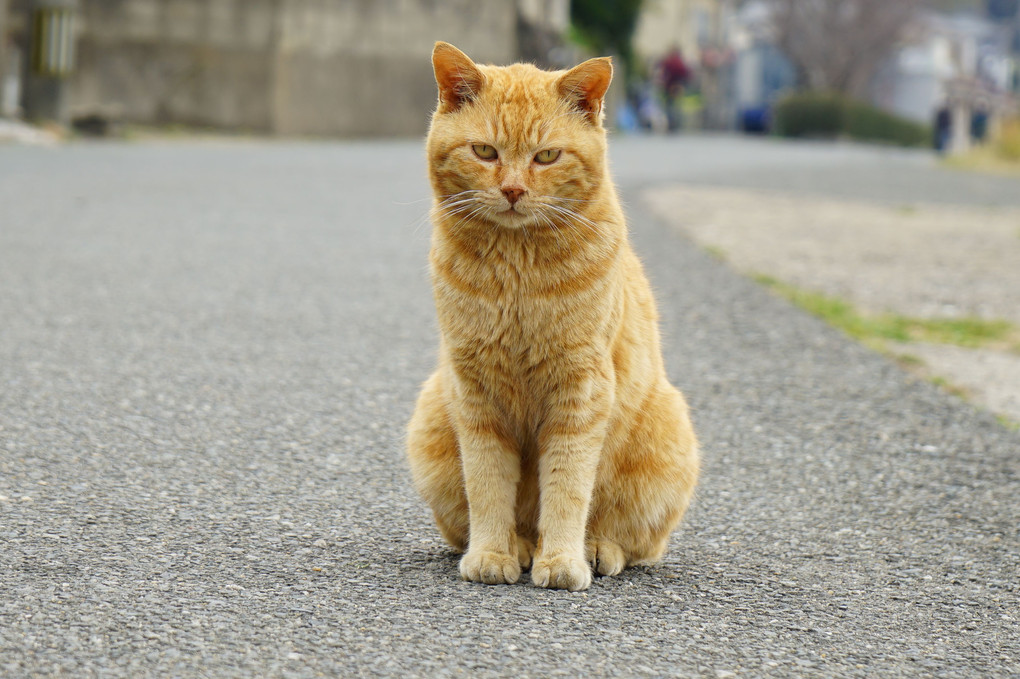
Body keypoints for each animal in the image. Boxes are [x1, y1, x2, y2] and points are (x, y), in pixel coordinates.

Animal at [408, 42, 701, 587]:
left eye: (546, 156)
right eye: (485, 152)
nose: (512, 190)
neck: (517, 272)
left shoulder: (580, 391)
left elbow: (568, 487)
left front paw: (562, 560)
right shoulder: (475, 392)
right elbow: (488, 485)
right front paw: (492, 553)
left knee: (635, 541)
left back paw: (594, 549)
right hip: (432, 418)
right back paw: (521, 546)